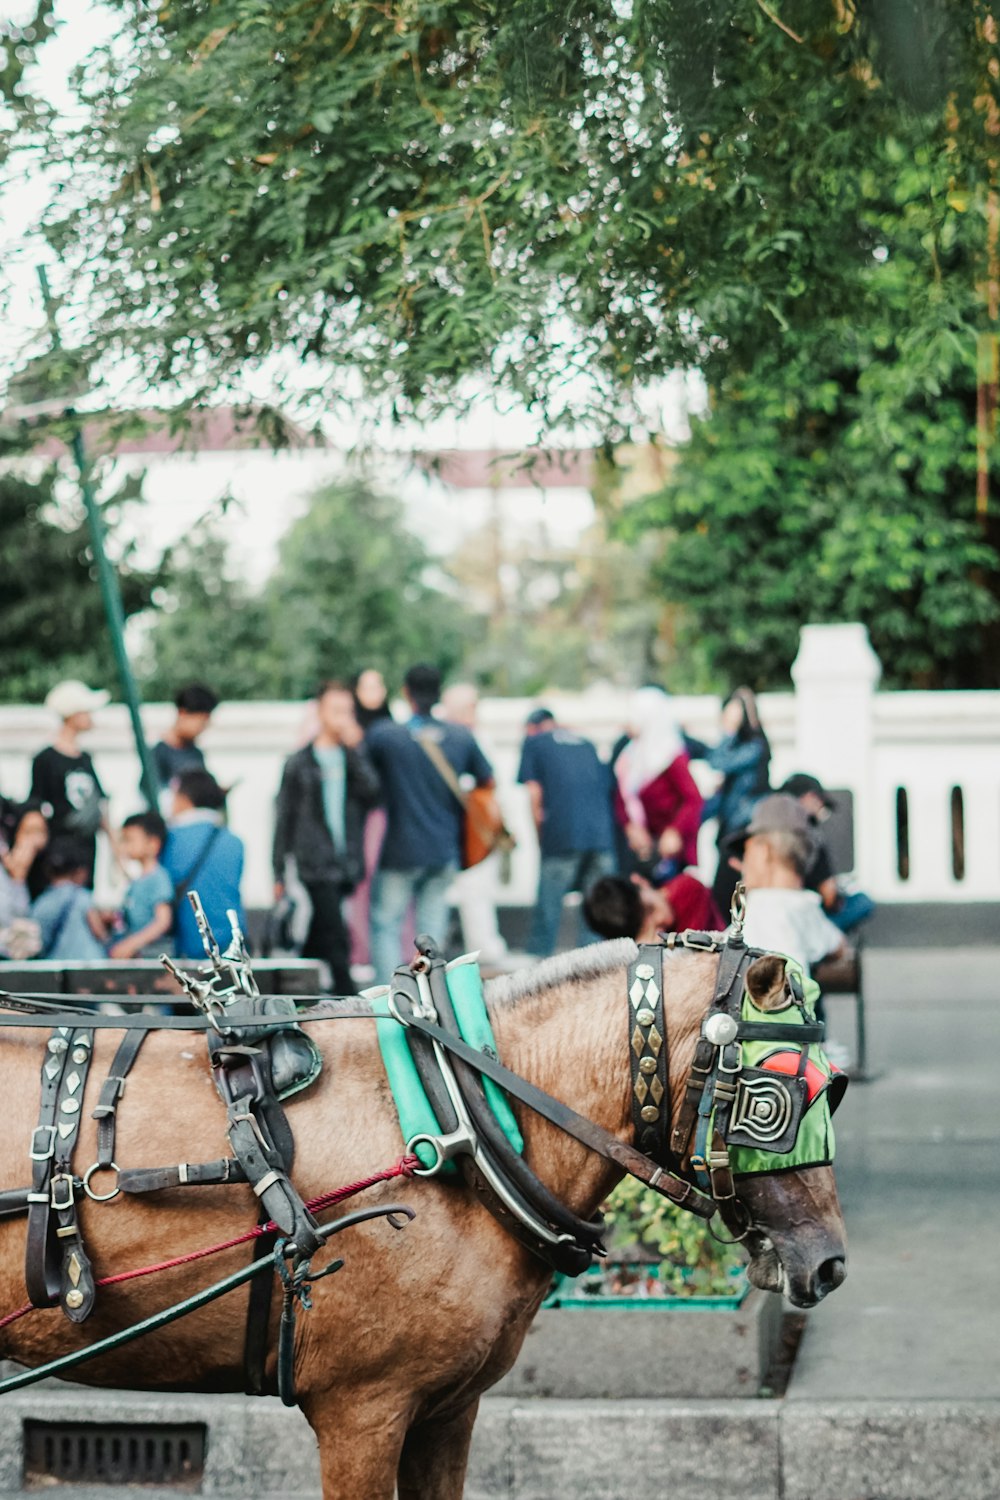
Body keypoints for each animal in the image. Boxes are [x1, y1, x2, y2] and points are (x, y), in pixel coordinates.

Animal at [0, 942, 845, 1494]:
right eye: (772, 1101)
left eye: (833, 1088)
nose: (829, 1263)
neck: (461, 1116)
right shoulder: (360, 1413)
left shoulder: (446, 1413)